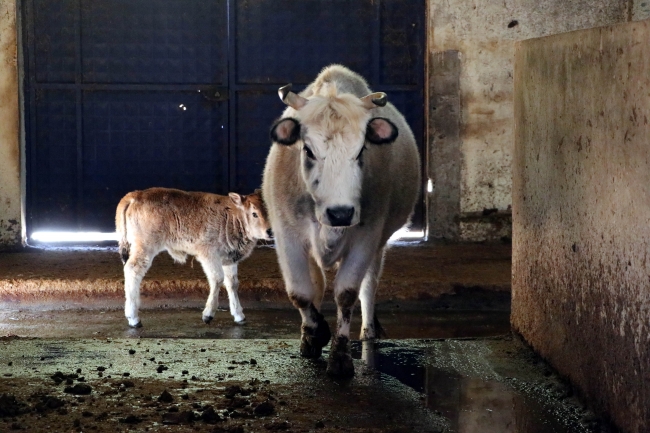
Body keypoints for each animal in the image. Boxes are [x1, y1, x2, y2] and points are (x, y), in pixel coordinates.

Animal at [114, 186, 270, 328]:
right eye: (254, 213)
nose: (269, 231)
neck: (232, 215)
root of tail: (135, 195)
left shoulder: (229, 259)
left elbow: (232, 283)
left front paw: (239, 315)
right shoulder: (208, 255)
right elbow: (217, 279)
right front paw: (208, 314)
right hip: (145, 247)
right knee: (133, 270)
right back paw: (134, 318)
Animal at [262, 64, 420, 374]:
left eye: (361, 151)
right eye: (308, 150)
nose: (340, 213)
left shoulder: (366, 236)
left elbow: (347, 293)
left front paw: (340, 356)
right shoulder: (288, 236)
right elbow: (301, 292)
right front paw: (314, 334)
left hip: (379, 245)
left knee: (369, 284)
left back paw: (368, 331)